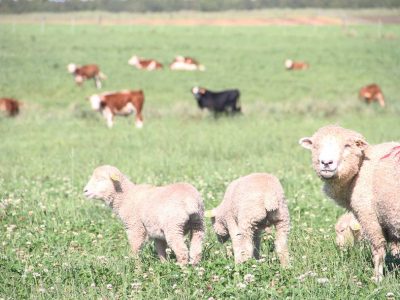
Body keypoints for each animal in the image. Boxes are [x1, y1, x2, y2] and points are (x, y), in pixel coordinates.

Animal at [300, 124, 400, 282]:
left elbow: (378, 250)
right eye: (316, 146)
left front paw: (377, 278)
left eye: (347, 145)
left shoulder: (369, 216)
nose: (326, 163)